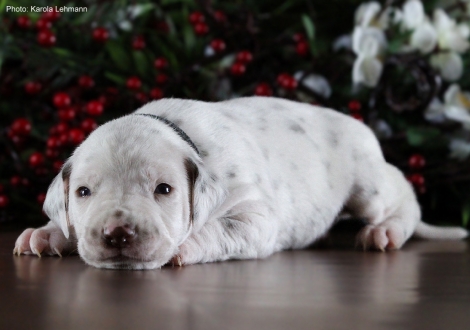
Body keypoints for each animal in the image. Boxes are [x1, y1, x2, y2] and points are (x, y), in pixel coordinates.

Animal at [12, 96, 468, 270]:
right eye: (83, 192)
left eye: (164, 190)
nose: (117, 233)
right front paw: (47, 233)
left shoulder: (256, 218)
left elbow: (218, 230)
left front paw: (185, 247)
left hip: (370, 186)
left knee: (404, 198)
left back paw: (386, 230)